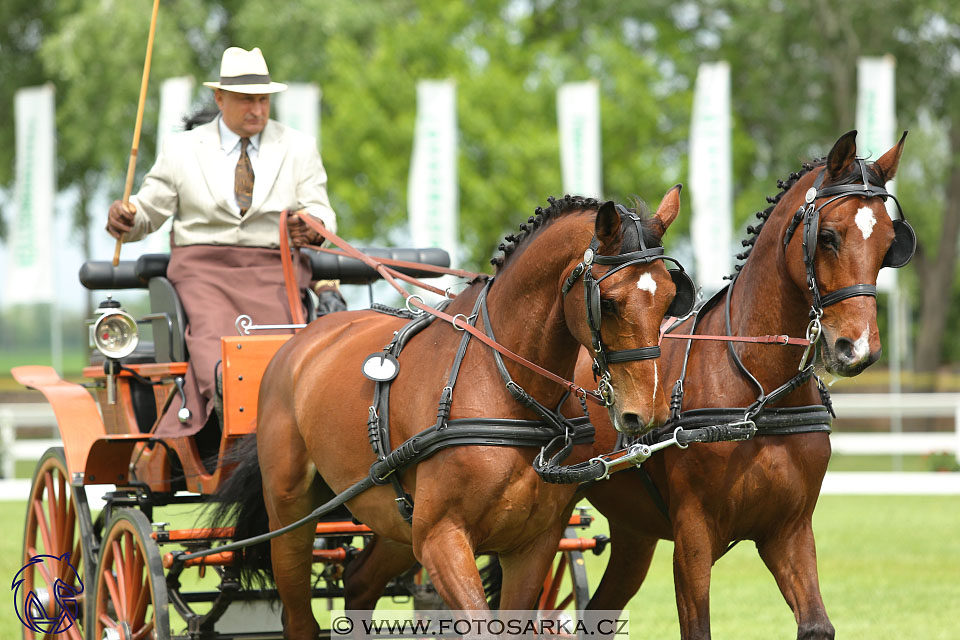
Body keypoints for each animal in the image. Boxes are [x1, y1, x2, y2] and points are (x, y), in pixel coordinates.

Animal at [212, 188, 688, 636]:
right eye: (607, 302)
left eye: (670, 299)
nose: (645, 413)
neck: (505, 387)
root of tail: (297, 341)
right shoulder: (442, 539)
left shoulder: (532, 545)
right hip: (291, 516)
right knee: (300, 618)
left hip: (393, 520)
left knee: (359, 582)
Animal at [576, 131, 916, 640]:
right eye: (829, 237)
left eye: (889, 244)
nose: (858, 348)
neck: (757, 396)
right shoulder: (693, 534)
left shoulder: (788, 529)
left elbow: (816, 624)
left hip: (634, 531)